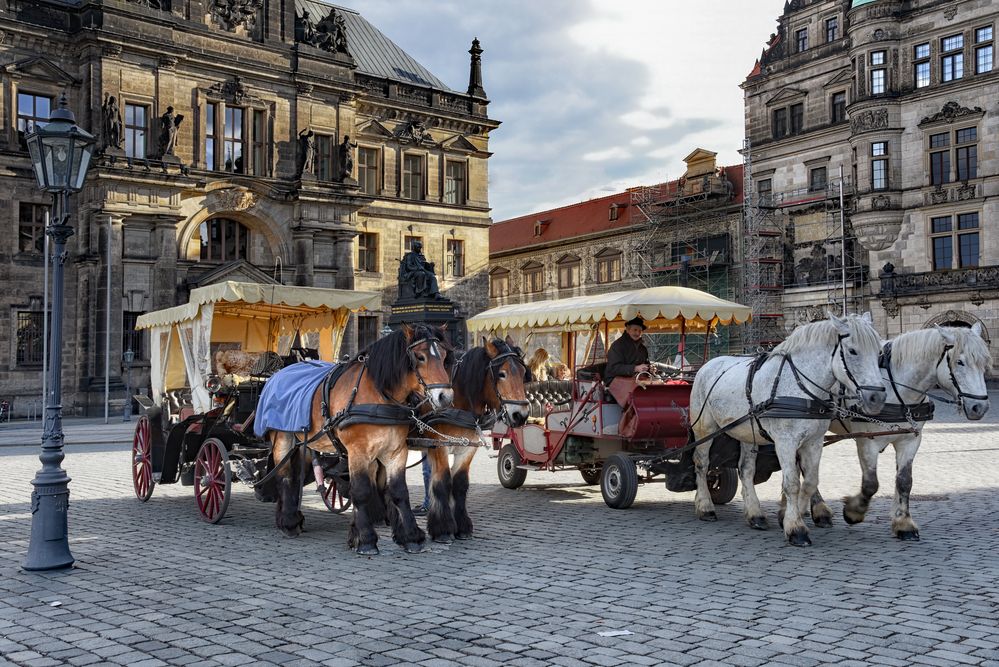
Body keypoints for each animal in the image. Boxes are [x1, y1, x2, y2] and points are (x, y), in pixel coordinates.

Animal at [266, 326, 454, 556]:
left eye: (444, 356)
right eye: (420, 357)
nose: (445, 396)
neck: (378, 397)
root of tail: (280, 372)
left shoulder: (396, 451)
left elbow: (399, 491)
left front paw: (411, 537)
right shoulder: (358, 451)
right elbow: (361, 491)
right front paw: (365, 540)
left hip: (303, 443)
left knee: (293, 476)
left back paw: (287, 517)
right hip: (282, 438)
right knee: (284, 477)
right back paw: (289, 523)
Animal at [422, 340, 532, 544]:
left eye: (523, 373)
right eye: (502, 374)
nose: (520, 415)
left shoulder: (467, 447)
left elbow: (460, 484)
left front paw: (462, 526)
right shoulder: (439, 445)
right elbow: (442, 483)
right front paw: (442, 529)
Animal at [692, 314, 888, 548]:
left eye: (879, 353)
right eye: (852, 351)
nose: (876, 398)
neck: (802, 388)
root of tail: (708, 364)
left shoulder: (814, 441)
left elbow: (810, 480)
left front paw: (794, 514)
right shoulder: (785, 441)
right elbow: (792, 483)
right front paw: (795, 528)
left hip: (747, 431)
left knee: (746, 470)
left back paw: (755, 515)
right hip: (705, 429)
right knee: (702, 464)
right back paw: (705, 507)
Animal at [836, 326, 992, 540]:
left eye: (984, 363)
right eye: (960, 362)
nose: (980, 407)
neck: (896, 389)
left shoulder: (909, 440)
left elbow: (904, 481)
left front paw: (903, 523)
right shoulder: (867, 442)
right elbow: (870, 484)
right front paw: (853, 512)